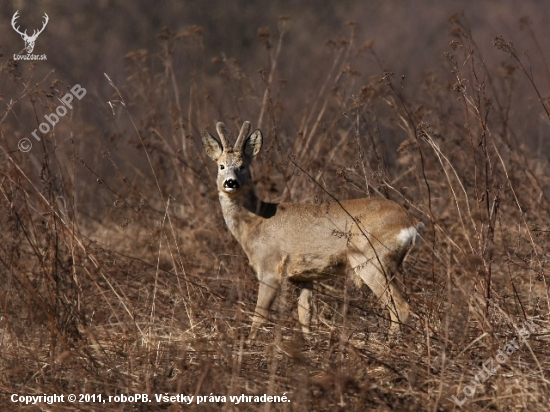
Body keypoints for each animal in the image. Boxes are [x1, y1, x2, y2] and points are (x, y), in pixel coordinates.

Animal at [205, 120, 424, 340]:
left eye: (243, 166)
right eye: (221, 166)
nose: (230, 182)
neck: (256, 222)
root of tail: (412, 221)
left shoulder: (270, 267)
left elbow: (259, 314)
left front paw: (249, 342)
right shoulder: (304, 276)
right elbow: (305, 314)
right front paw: (308, 341)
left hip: (369, 258)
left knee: (400, 307)